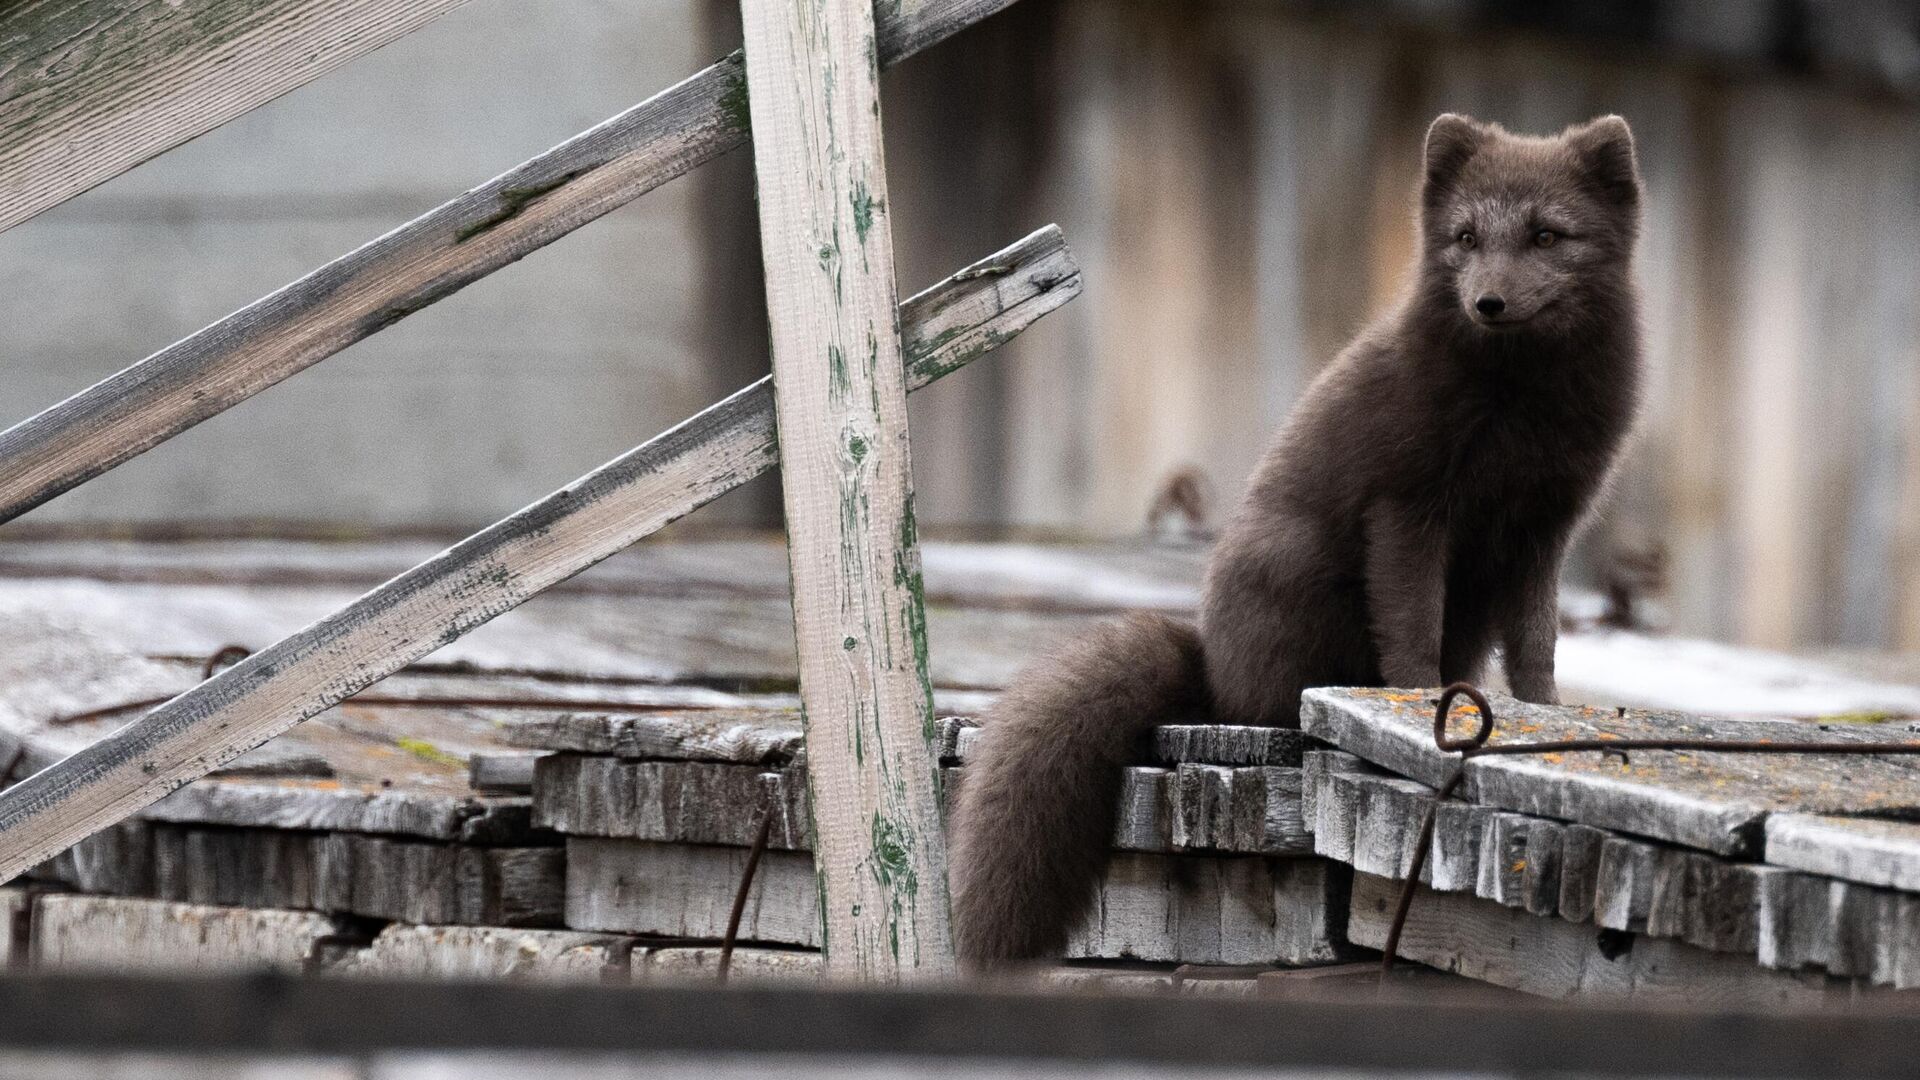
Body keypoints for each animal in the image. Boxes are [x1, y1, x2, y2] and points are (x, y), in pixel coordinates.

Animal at [952, 115, 1643, 957]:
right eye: (1466, 235)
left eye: (1547, 234)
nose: (1489, 301)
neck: (1521, 416)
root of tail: (1210, 670)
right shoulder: (1407, 505)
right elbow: (1411, 624)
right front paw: (1420, 701)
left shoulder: (1547, 527)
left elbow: (1537, 643)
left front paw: (1550, 710)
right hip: (1296, 569)